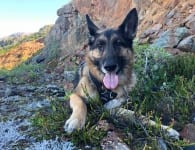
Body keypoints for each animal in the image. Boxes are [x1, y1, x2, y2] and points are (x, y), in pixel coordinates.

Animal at [64, 7, 180, 138]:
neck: (104, 89)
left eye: (118, 43)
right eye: (100, 45)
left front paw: (164, 129)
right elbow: (80, 103)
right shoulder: (74, 95)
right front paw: (76, 121)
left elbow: (139, 116)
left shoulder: (112, 108)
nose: (109, 67)